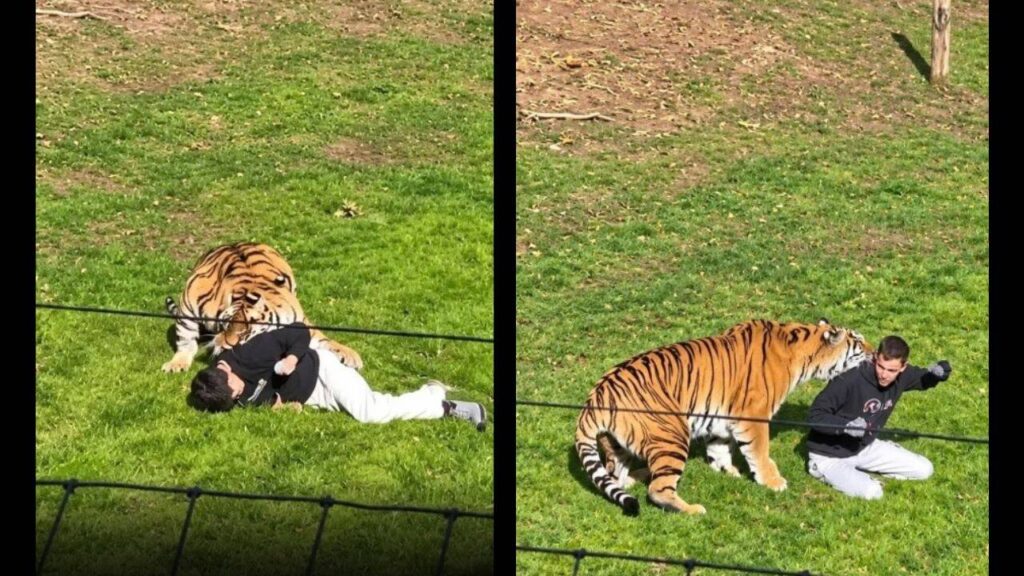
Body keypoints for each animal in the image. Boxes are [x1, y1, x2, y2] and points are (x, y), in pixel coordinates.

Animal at [161, 242, 363, 373]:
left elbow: (325, 341)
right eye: (226, 325)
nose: (224, 345)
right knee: (186, 341)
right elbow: (186, 340)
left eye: (245, 331)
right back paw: (176, 364)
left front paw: (350, 356)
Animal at [575, 318, 872, 516]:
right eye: (858, 342)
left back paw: (638, 475)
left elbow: (720, 447)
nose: (873, 352)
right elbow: (760, 451)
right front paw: (773, 482)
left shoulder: (721, 416)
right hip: (672, 433)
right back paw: (692, 509)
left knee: (617, 477)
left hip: (617, 443)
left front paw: (727, 471)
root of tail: (597, 396)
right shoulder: (753, 415)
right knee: (658, 490)